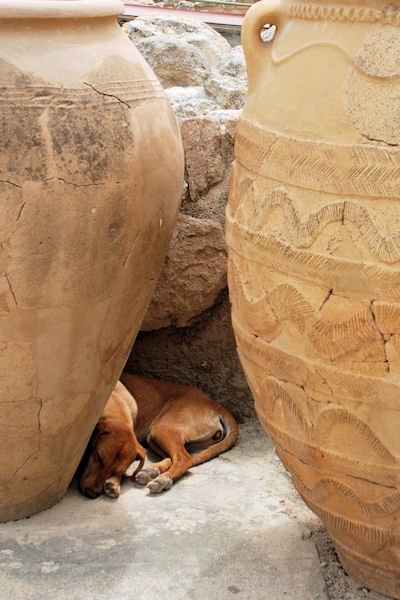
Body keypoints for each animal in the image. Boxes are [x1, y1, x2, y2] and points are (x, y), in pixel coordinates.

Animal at [79, 376, 239, 496]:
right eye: (98, 458)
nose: (91, 493)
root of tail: (216, 405)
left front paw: (114, 482)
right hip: (152, 437)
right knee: (172, 458)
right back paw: (151, 471)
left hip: (161, 429)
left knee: (184, 459)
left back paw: (163, 479)